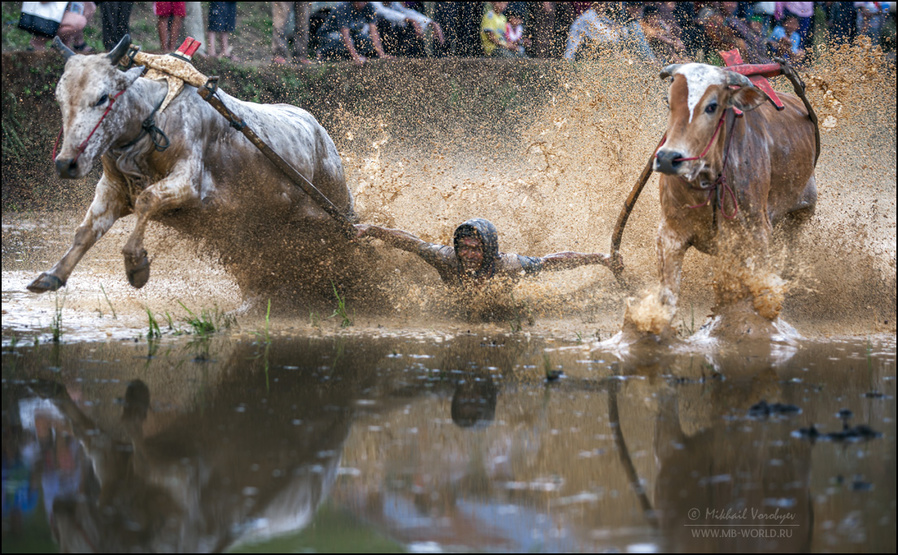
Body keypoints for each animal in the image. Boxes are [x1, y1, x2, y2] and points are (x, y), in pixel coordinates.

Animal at [27, 35, 354, 294]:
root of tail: (320, 132)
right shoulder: (112, 188)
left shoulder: (188, 183)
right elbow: (86, 230)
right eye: (60, 99)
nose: (66, 163)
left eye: (102, 97)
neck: (151, 118)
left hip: (337, 206)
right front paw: (52, 275)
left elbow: (148, 200)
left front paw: (136, 264)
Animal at [648, 64, 816, 334]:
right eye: (669, 102)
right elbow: (667, 297)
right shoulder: (670, 234)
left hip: (804, 209)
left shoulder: (756, 233)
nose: (667, 158)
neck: (708, 180)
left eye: (712, 106)